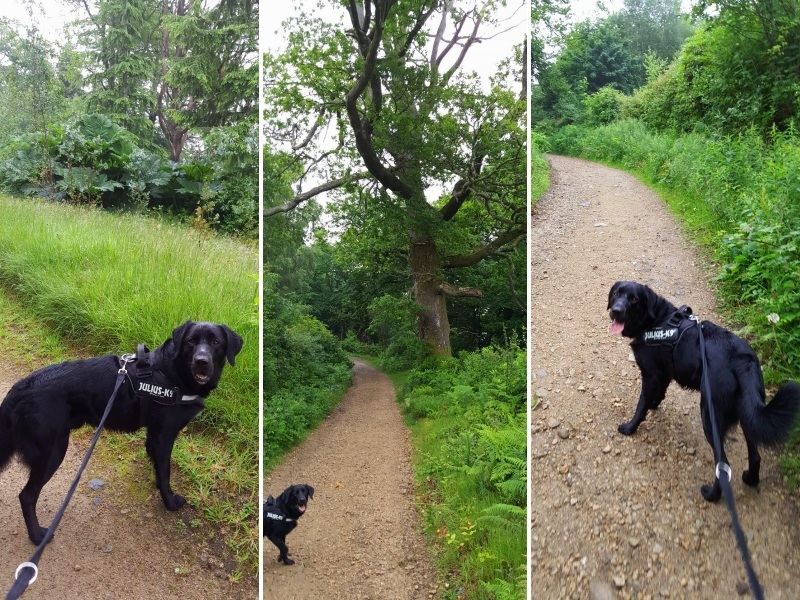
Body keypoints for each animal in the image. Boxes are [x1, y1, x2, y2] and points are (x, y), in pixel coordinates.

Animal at [0, 322, 242, 548]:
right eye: (191, 341)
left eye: (216, 342)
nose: (202, 361)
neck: (172, 374)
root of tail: (19, 389)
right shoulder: (164, 436)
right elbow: (165, 473)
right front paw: (169, 502)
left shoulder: (153, 436)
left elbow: (157, 468)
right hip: (53, 451)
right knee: (27, 496)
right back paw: (37, 536)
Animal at [608, 282, 796, 502]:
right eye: (616, 294)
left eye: (634, 299)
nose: (615, 310)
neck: (655, 321)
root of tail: (742, 360)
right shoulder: (664, 373)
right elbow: (660, 393)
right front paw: (654, 405)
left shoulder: (651, 375)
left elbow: (641, 406)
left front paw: (630, 427)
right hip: (747, 413)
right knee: (755, 455)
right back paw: (750, 479)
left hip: (710, 414)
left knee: (724, 463)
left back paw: (712, 495)